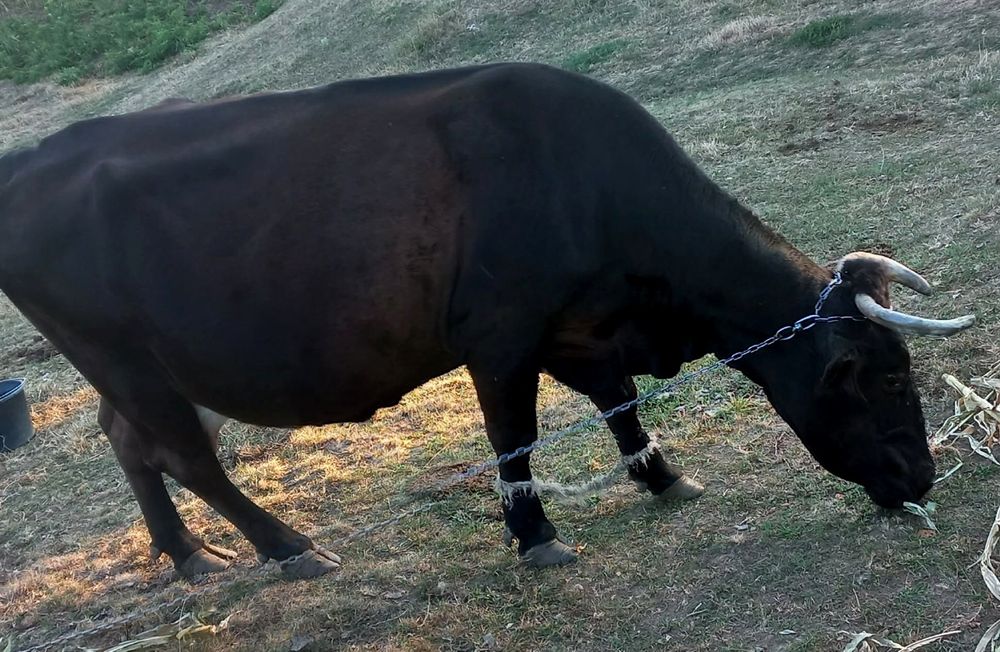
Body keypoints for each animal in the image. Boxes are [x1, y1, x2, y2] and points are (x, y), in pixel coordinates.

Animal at [0, 63, 975, 578]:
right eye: (890, 377)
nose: (923, 476)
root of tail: (35, 156)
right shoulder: (498, 336)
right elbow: (517, 439)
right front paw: (536, 536)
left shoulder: (579, 326)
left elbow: (620, 405)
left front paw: (664, 478)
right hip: (123, 355)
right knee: (185, 455)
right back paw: (288, 546)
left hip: (132, 366)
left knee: (129, 441)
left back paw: (187, 554)